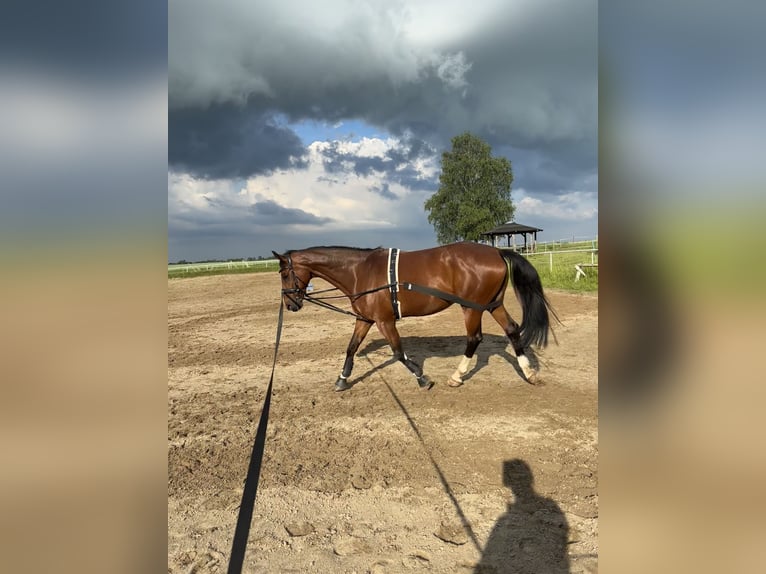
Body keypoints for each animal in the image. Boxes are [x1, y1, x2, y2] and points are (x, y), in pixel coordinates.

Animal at [272, 241, 556, 394]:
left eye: (284, 274)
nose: (290, 304)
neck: (359, 271)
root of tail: (496, 252)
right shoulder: (365, 319)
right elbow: (351, 347)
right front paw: (342, 379)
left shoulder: (385, 321)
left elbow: (398, 352)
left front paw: (422, 378)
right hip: (492, 304)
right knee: (512, 329)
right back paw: (528, 373)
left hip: (472, 308)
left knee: (474, 338)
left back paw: (457, 376)